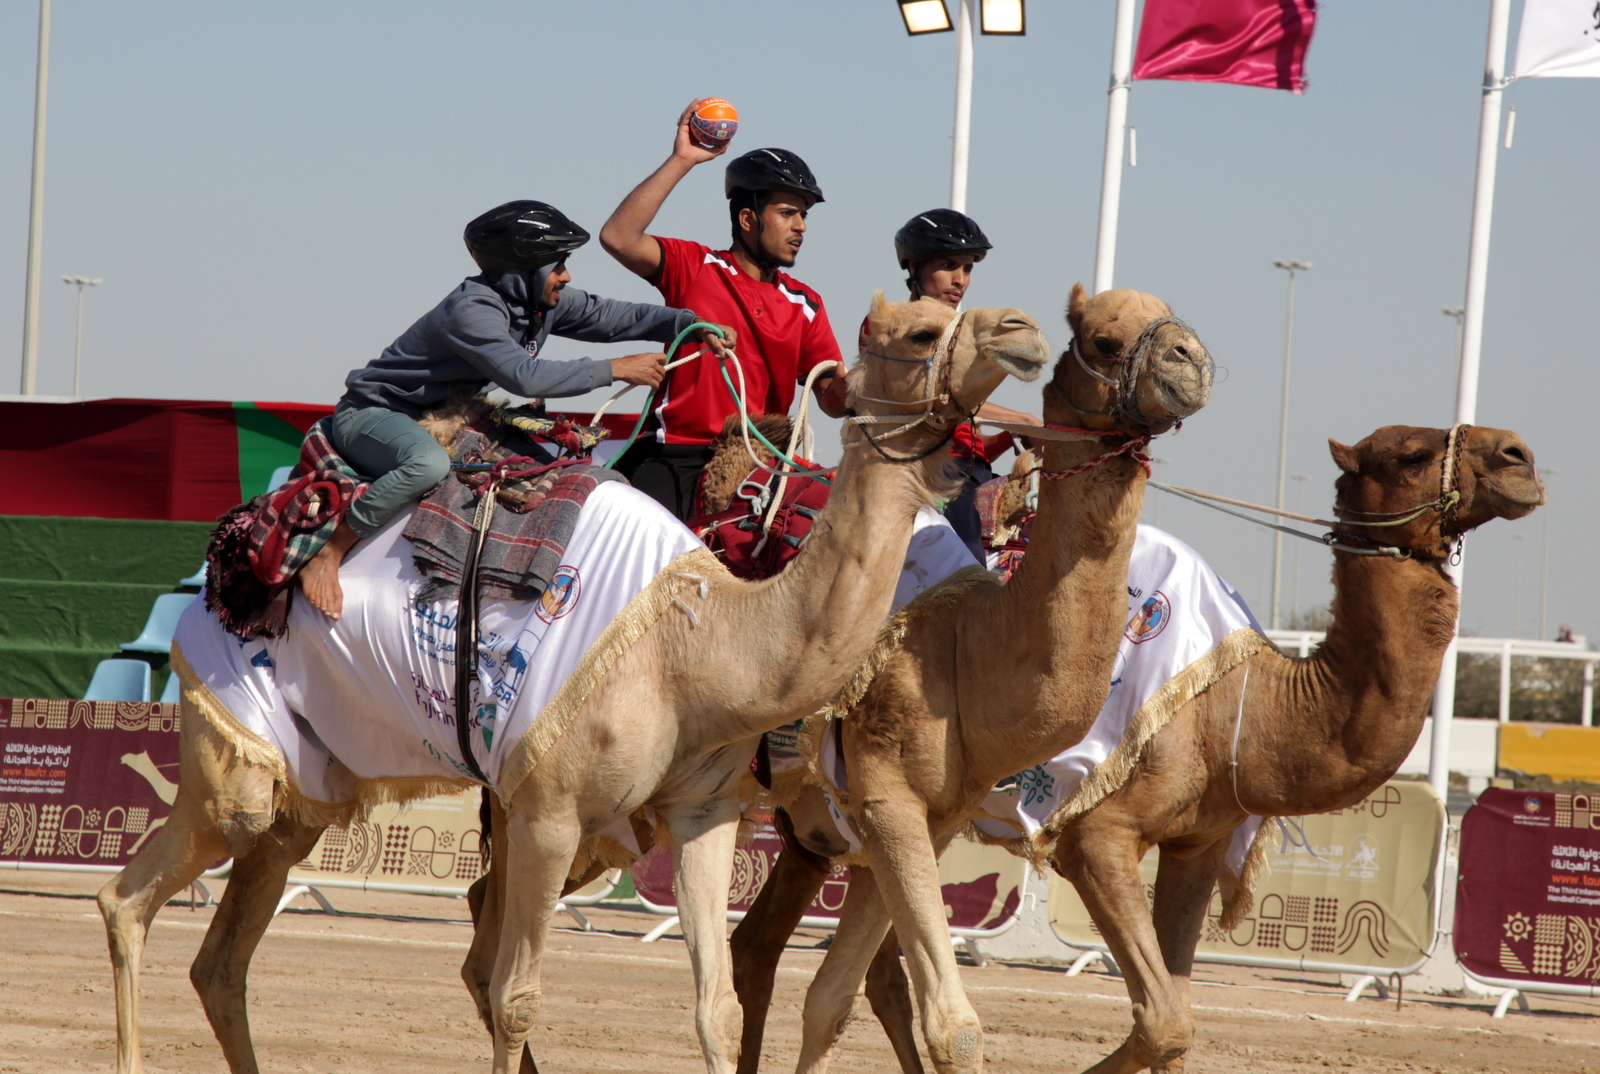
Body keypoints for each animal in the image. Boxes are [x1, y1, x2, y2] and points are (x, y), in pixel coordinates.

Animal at [93, 294, 1043, 1074]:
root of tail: (205, 593)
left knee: (222, 959)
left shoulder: (702, 811)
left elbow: (716, 1008)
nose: (1023, 330)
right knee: (127, 899)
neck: (697, 642)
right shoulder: (547, 806)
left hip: (311, 782)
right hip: (237, 764)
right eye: (920, 329)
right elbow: (516, 997)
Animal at [726, 283, 1209, 1074]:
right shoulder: (888, 794)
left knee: (758, 948)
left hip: (807, 829)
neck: (965, 647)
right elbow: (951, 1024)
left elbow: (833, 998)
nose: (1189, 358)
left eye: (1167, 314)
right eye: (1104, 340)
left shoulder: (931, 815)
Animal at [1043, 422, 1542, 1074]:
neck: (1245, 706)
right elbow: (1162, 1022)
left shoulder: (1196, 844)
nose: (1520, 457)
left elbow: (1174, 1019)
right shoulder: (1098, 834)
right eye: (1412, 456)